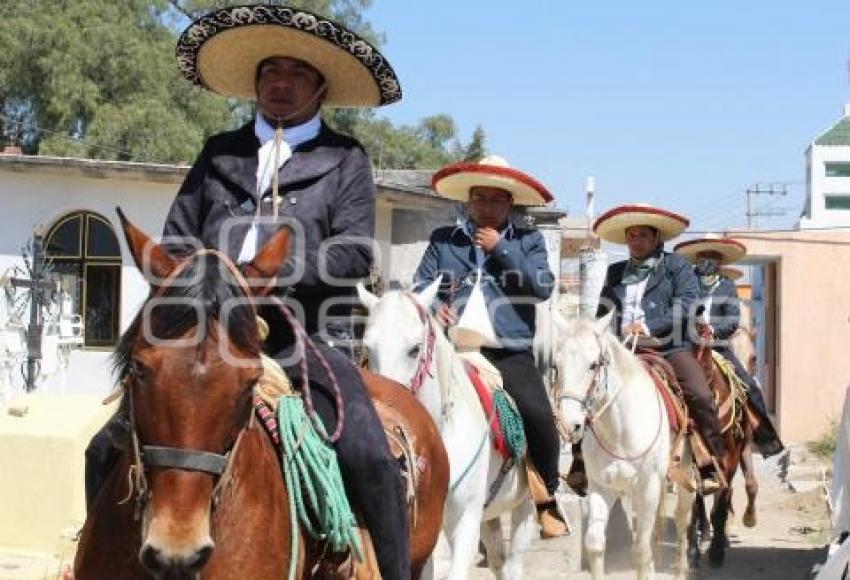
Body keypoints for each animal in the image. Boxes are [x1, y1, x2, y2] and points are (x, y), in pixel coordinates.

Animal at [556, 312, 688, 580]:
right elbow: (595, 544)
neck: (619, 432)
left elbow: (640, 551)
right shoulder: (601, 487)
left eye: (593, 364)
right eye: (556, 366)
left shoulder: (647, 489)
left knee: (680, 520)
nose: (568, 425)